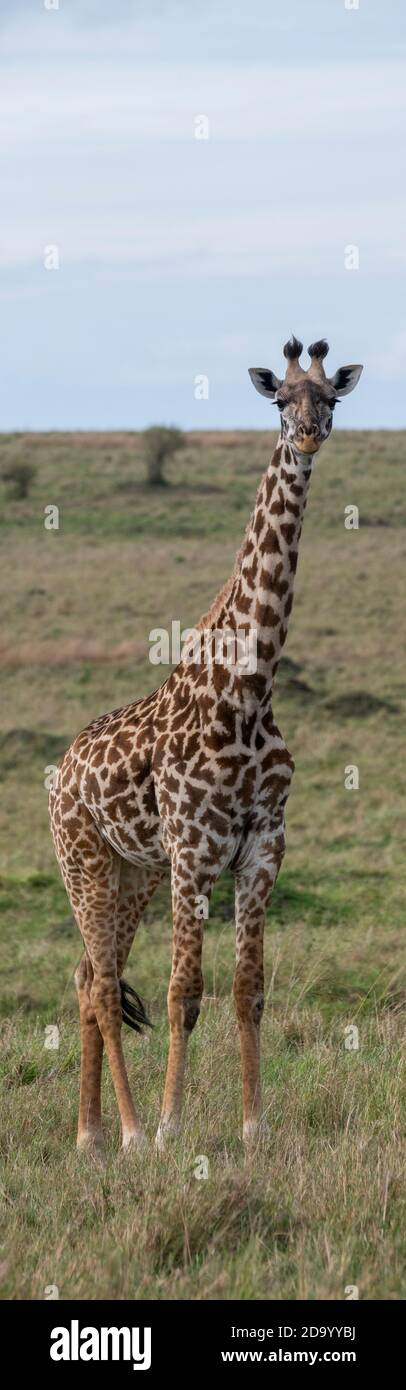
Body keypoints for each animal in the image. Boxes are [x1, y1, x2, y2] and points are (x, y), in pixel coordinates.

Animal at [49, 336, 362, 1155]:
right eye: (279, 399)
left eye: (331, 398)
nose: (308, 435)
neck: (249, 687)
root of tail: (60, 773)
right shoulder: (194, 851)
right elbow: (183, 991)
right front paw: (170, 1126)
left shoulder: (263, 848)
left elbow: (248, 989)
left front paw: (254, 1126)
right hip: (84, 864)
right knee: (102, 983)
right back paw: (125, 1133)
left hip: (133, 874)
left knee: (87, 977)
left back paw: (91, 1135)